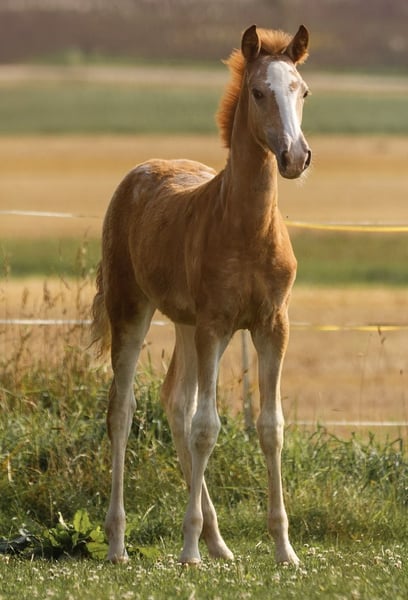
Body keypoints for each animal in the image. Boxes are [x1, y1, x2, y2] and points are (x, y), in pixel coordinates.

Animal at [91, 24, 311, 566]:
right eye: (259, 92)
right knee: (123, 410)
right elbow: (207, 427)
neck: (247, 228)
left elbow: (270, 427)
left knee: (175, 401)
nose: (296, 157)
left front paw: (285, 550)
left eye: (301, 91)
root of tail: (140, 171)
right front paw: (188, 551)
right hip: (133, 310)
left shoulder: (272, 325)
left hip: (187, 326)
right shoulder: (215, 324)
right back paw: (119, 543)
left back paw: (217, 541)